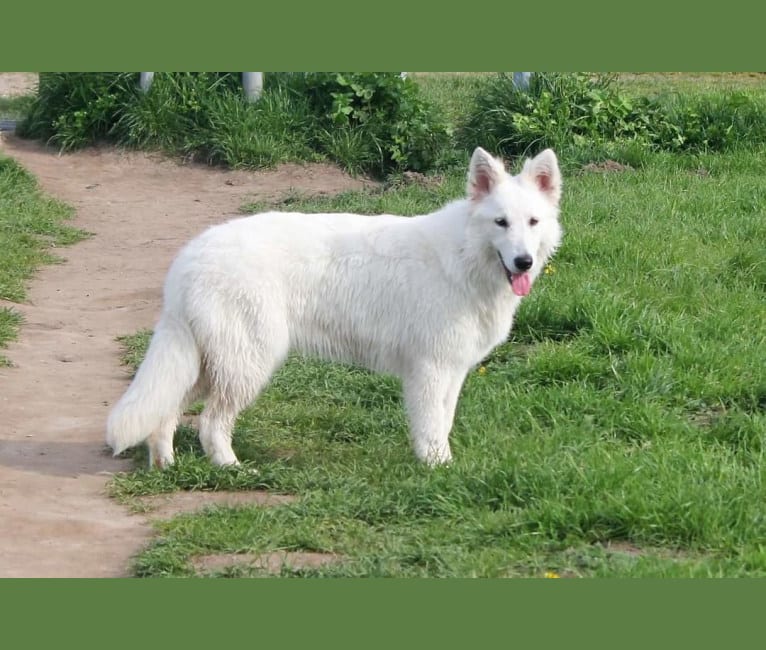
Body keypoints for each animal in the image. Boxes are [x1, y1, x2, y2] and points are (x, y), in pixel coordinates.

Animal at [106, 148, 564, 466]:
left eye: (533, 222)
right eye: (501, 223)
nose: (523, 262)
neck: (465, 257)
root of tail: (189, 258)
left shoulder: (451, 371)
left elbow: (443, 421)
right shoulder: (430, 370)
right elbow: (432, 427)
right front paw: (438, 469)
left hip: (209, 361)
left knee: (165, 412)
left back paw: (166, 464)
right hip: (247, 362)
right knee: (210, 423)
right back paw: (231, 468)